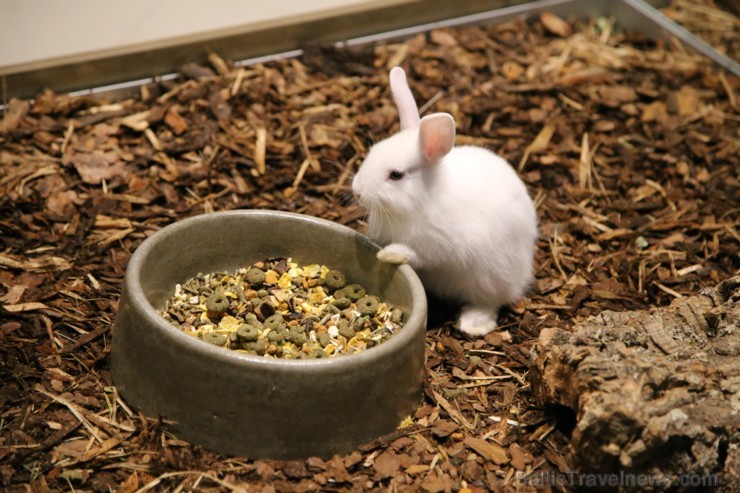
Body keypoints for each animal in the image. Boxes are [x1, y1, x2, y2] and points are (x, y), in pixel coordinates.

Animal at [352, 67, 536, 336]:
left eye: (396, 174)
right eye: (371, 153)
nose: (357, 190)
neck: (418, 202)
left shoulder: (440, 247)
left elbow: (417, 255)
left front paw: (390, 254)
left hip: (489, 277)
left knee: (490, 302)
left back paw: (474, 324)